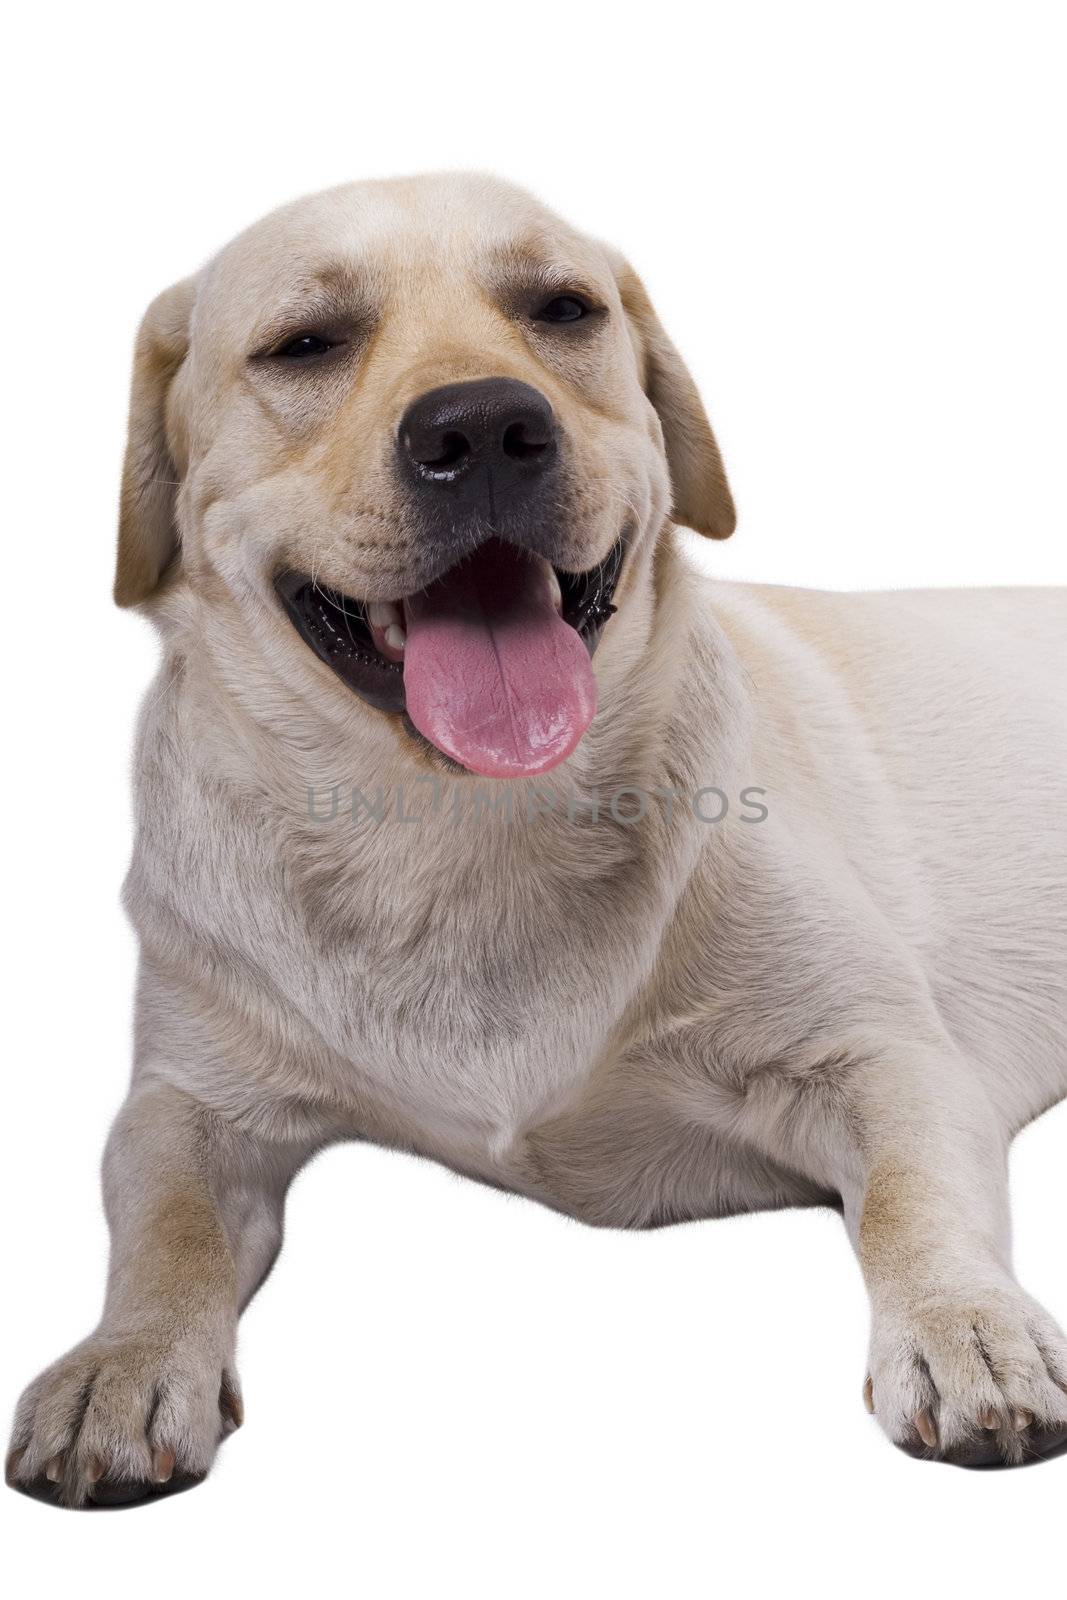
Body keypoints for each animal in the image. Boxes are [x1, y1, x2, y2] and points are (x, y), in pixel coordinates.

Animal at [10, 172, 1067, 1497]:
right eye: (303, 343)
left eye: (562, 309)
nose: (482, 426)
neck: (462, 826)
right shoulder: (182, 1100)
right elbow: (163, 1228)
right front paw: (122, 1358)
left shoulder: (884, 1052)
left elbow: (909, 1197)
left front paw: (961, 1324)